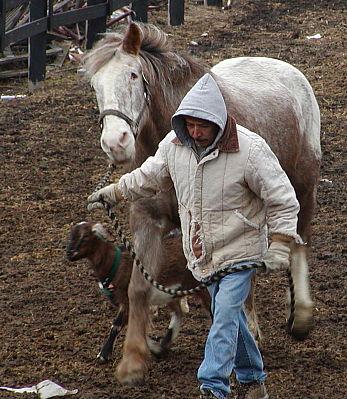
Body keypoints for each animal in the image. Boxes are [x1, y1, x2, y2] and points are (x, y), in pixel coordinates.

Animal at [66, 222, 211, 366]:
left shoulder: (128, 301)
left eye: (85, 237)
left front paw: (103, 355)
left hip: (199, 286)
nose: (69, 253)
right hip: (171, 292)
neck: (116, 264)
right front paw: (155, 348)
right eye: (71, 235)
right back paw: (163, 344)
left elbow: (116, 326)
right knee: (178, 313)